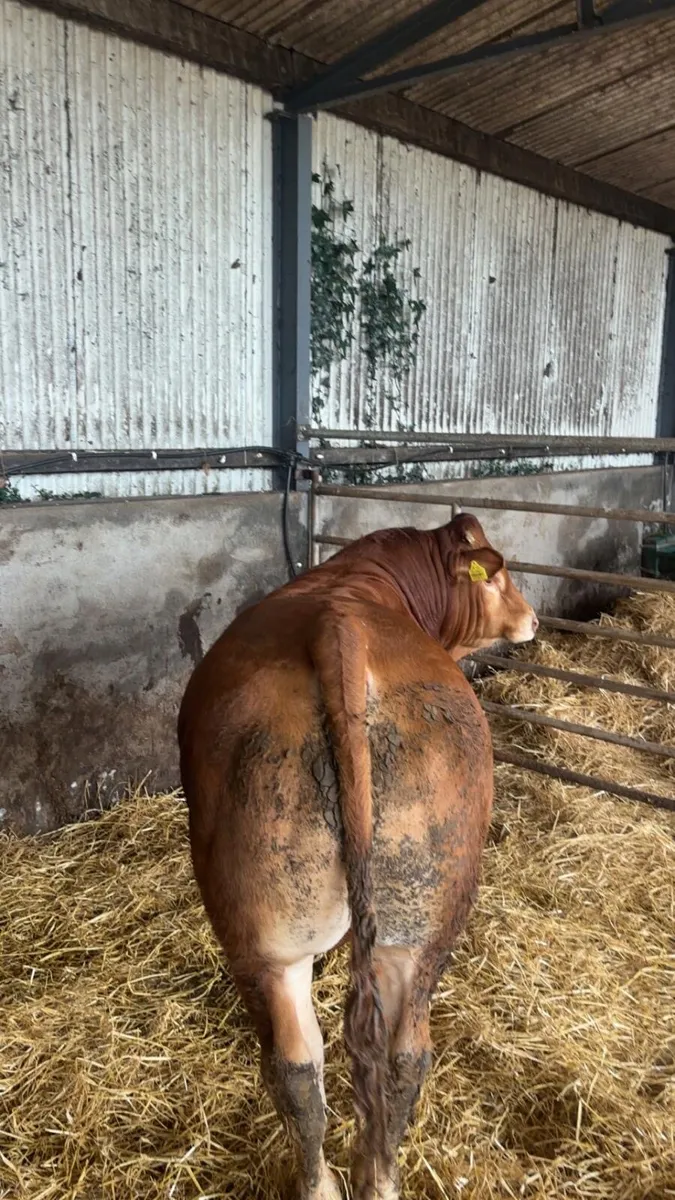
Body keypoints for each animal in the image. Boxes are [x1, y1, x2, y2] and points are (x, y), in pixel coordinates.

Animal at [178, 513, 537, 1200]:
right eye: (498, 576)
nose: (533, 619)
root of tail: (337, 631)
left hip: (313, 933)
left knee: (321, 1063)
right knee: (359, 1061)